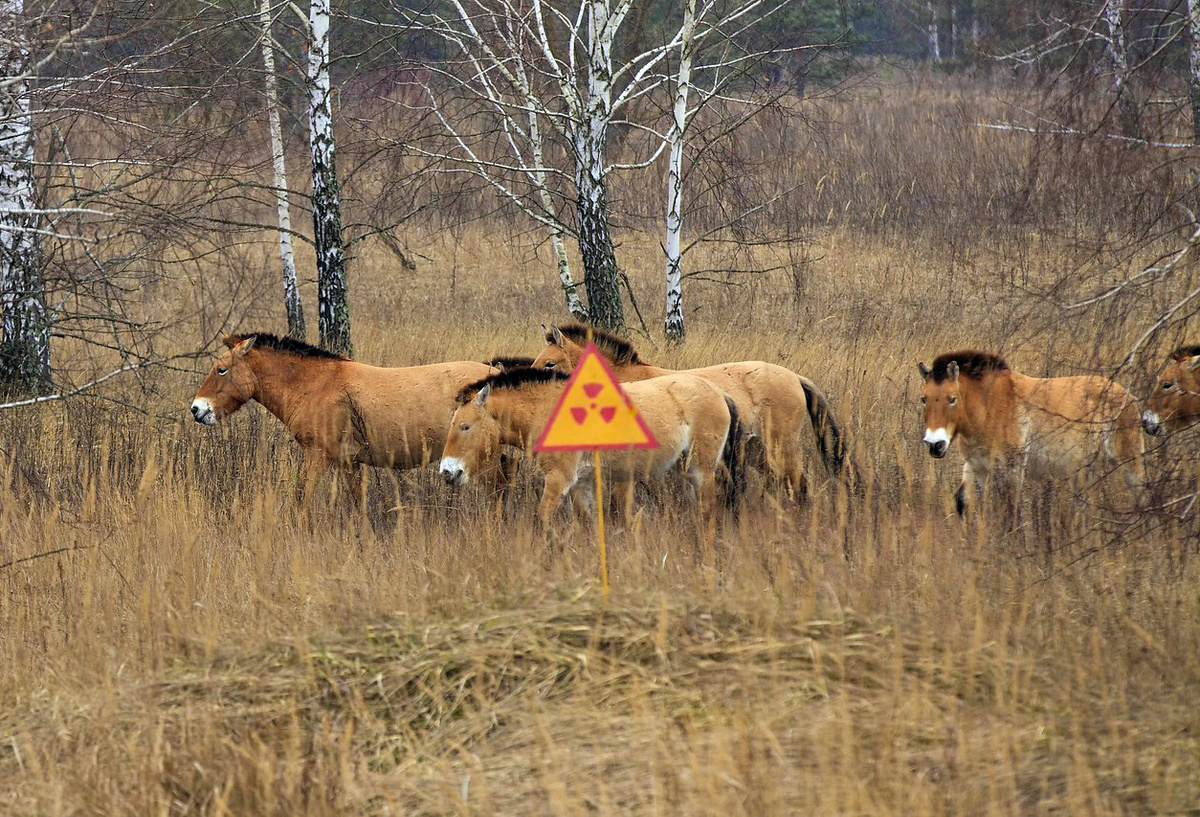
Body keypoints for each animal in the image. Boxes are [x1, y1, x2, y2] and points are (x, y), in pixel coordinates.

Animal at [439, 367, 739, 525]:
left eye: (465, 426)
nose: (447, 472)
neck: (548, 410)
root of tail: (719, 392)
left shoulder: (558, 480)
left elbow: (542, 519)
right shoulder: (580, 484)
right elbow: (588, 522)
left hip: (701, 469)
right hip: (686, 469)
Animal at [916, 347, 1142, 515]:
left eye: (952, 399)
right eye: (924, 399)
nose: (935, 445)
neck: (988, 408)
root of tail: (1128, 396)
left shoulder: (1012, 469)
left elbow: (1012, 510)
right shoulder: (976, 466)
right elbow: (963, 502)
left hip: (1129, 465)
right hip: (1085, 469)